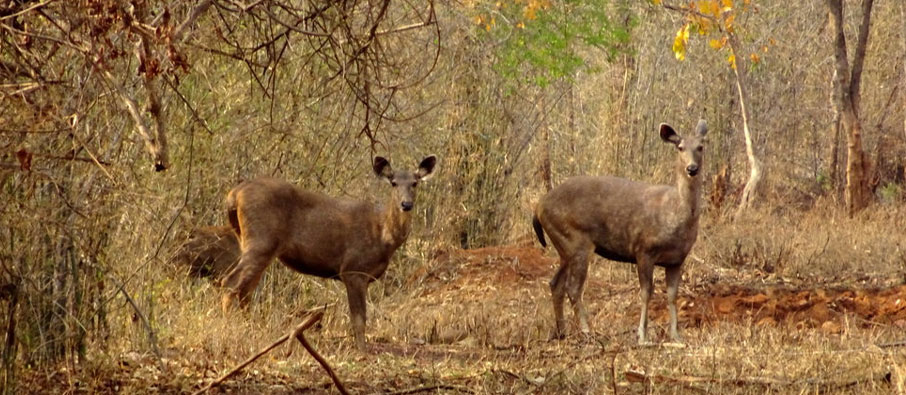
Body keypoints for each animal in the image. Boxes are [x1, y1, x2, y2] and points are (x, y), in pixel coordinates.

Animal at [224, 156, 440, 352]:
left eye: (415, 183)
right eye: (393, 183)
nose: (406, 204)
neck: (383, 235)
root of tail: (234, 194)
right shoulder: (353, 269)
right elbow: (359, 318)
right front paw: (363, 351)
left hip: (250, 241)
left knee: (245, 290)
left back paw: (251, 328)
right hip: (261, 240)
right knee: (231, 282)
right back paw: (229, 327)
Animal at [528, 120, 708, 346]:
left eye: (700, 146)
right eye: (680, 147)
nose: (692, 168)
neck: (675, 213)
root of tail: (538, 207)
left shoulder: (677, 259)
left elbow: (672, 295)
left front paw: (676, 336)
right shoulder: (644, 249)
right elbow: (646, 292)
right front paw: (642, 336)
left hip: (564, 246)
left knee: (555, 283)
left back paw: (562, 331)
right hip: (575, 241)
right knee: (573, 287)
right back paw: (587, 331)